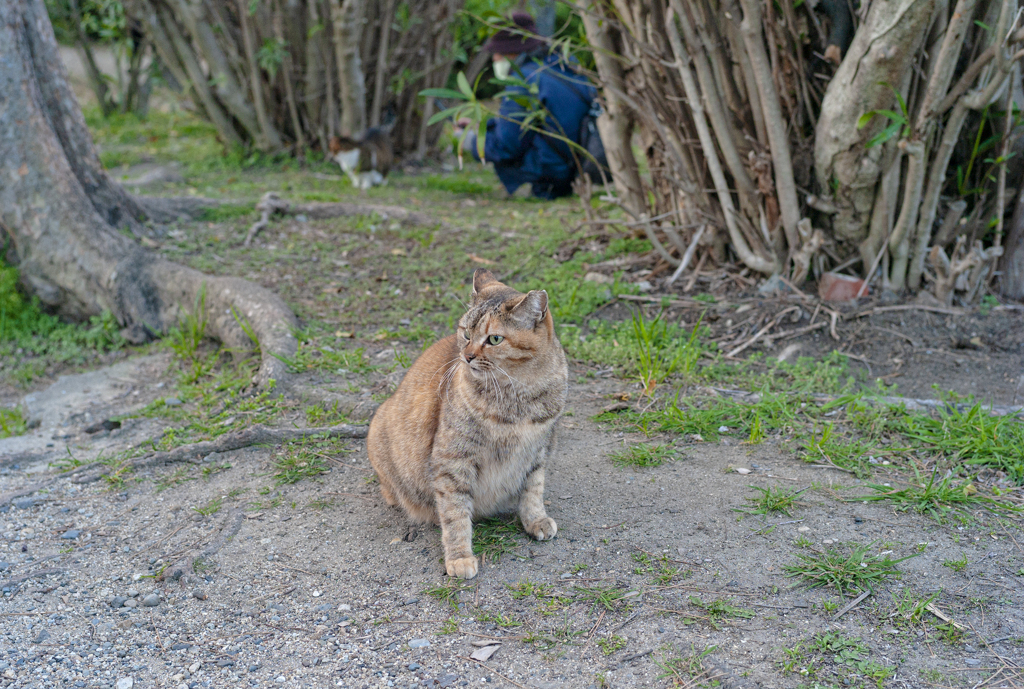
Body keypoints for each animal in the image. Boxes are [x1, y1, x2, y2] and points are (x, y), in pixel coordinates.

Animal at [368, 268, 569, 573]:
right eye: (466, 333)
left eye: (494, 339)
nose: (467, 356)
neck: (518, 394)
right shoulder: (453, 460)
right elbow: (455, 512)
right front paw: (459, 556)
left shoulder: (539, 450)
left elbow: (533, 490)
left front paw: (535, 520)